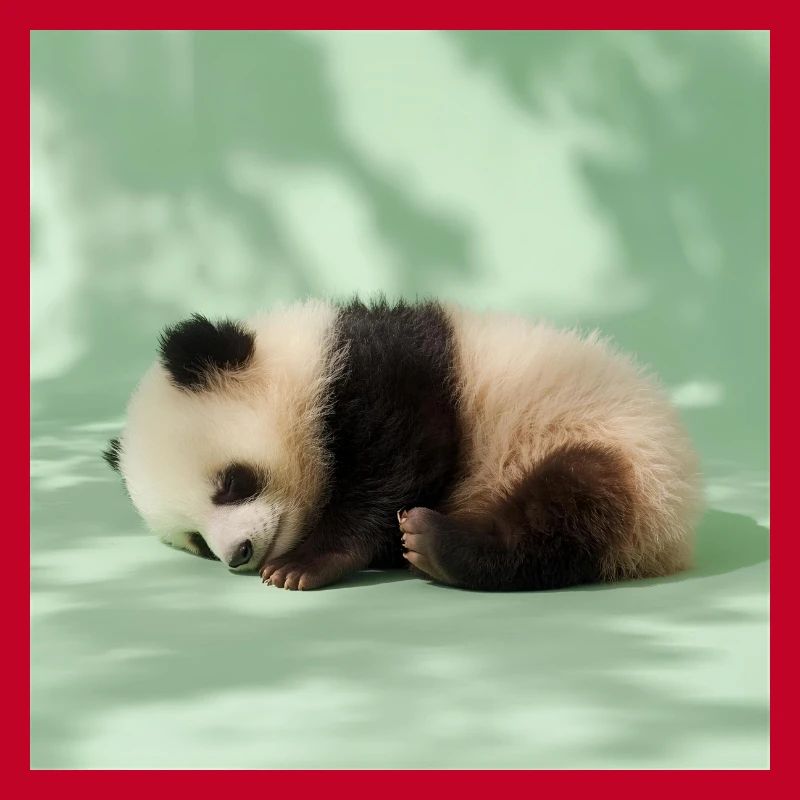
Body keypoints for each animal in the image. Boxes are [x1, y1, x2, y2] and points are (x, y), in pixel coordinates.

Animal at [104, 297, 702, 591]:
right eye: (197, 542)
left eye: (231, 483)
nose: (239, 555)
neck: (307, 363)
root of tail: (674, 541)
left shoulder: (388, 375)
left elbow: (400, 457)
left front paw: (305, 564)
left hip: (619, 447)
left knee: (572, 502)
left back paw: (441, 545)